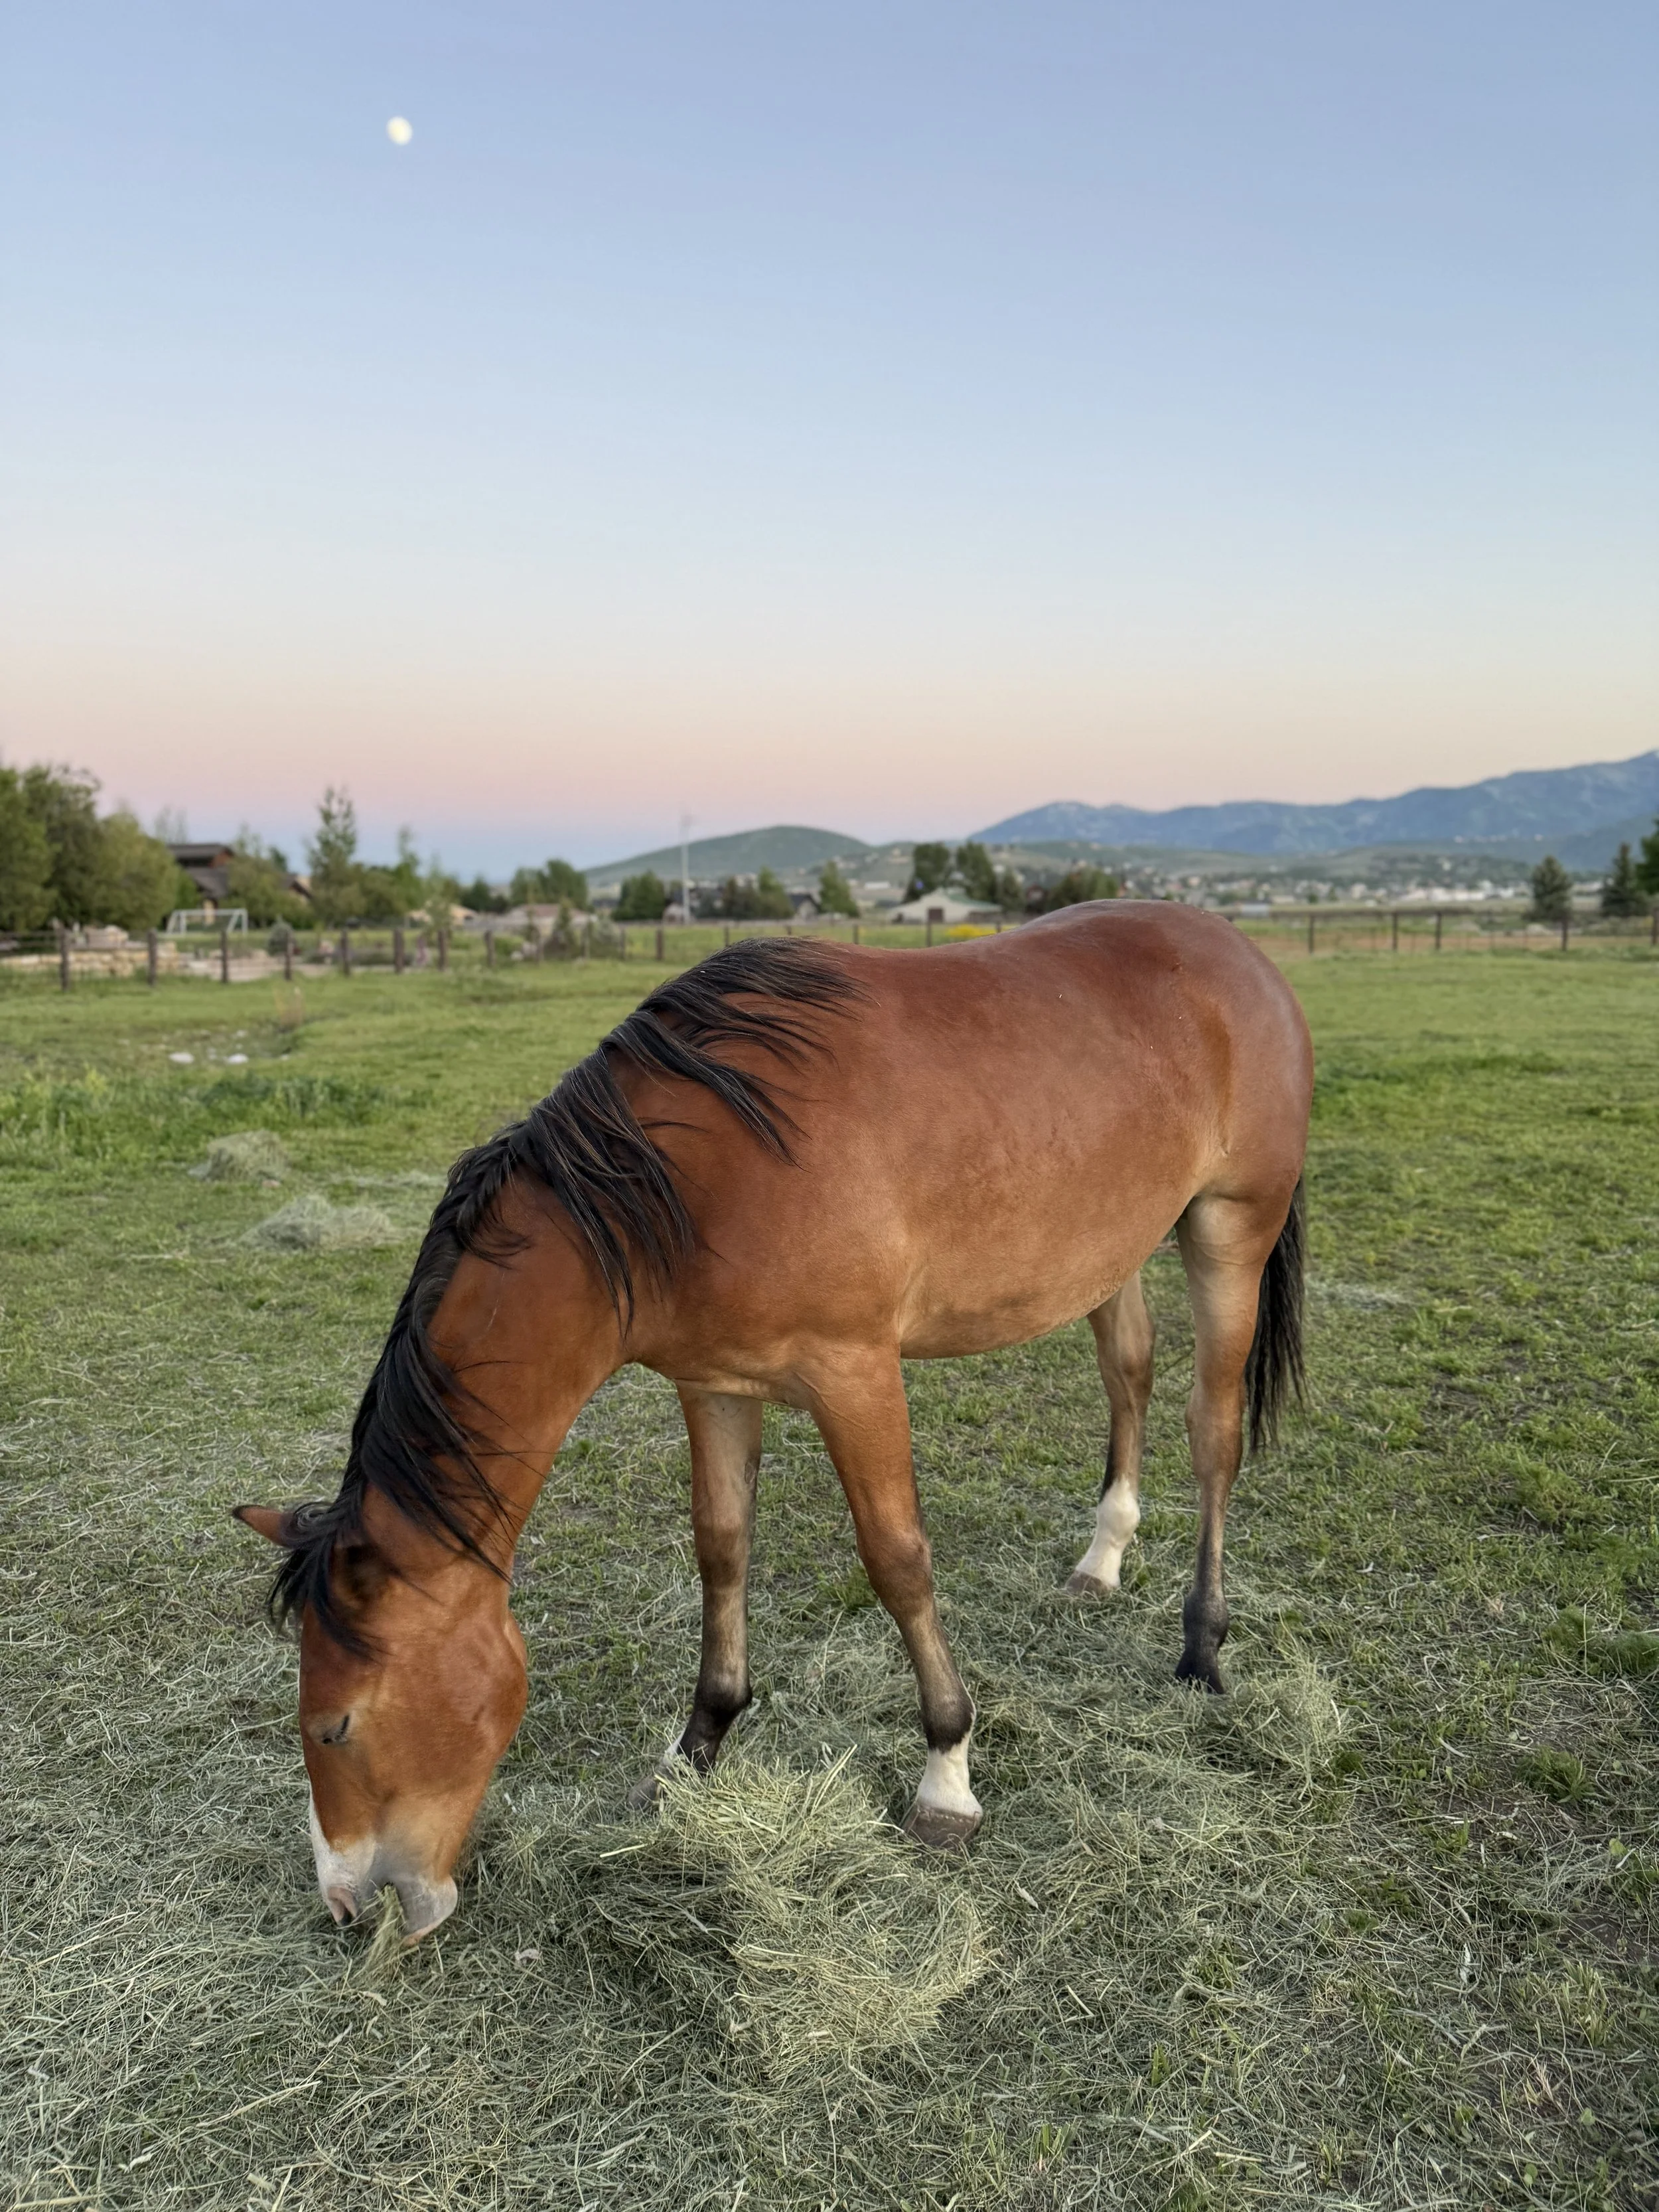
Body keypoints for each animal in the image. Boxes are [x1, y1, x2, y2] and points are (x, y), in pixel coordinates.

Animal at [236, 903, 1312, 1941]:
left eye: (333, 1727)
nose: (348, 1903)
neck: (688, 1178)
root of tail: (1242, 954)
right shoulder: (715, 1385)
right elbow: (722, 1547)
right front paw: (696, 1748)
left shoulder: (856, 1374)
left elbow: (897, 1561)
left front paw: (947, 1777)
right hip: (1108, 1252)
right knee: (1126, 1373)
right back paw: (1103, 1557)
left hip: (1229, 1233)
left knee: (1212, 1436)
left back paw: (1202, 1648)